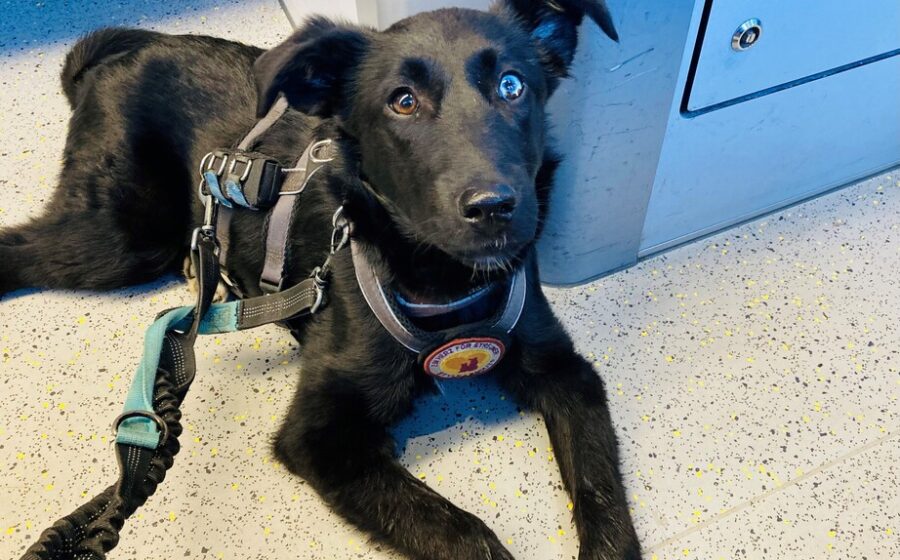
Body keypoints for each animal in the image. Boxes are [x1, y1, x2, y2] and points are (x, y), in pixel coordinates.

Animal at [0, 1, 640, 558]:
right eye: (402, 102)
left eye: (512, 86)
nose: (494, 208)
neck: (445, 283)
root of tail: (118, 57)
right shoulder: (318, 438)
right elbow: (464, 532)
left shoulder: (567, 373)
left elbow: (602, 491)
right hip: (119, 237)